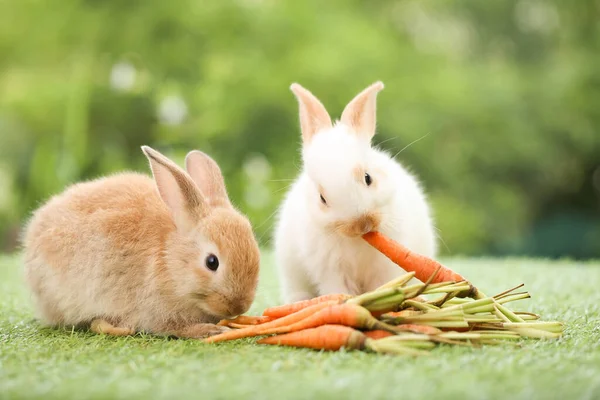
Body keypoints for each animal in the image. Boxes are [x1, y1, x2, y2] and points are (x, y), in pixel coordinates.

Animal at [22, 145, 260, 336]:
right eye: (212, 262)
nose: (239, 307)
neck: (169, 260)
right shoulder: (156, 311)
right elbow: (176, 328)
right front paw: (211, 330)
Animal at [276, 83, 436, 304]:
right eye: (322, 198)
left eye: (368, 178)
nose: (362, 224)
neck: (358, 241)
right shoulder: (332, 269)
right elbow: (339, 288)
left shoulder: (384, 266)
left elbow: (381, 284)